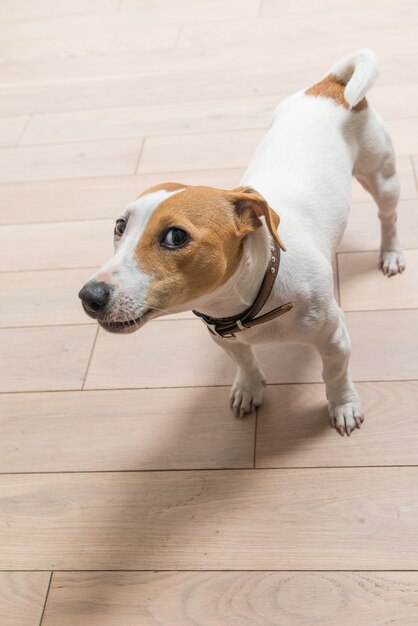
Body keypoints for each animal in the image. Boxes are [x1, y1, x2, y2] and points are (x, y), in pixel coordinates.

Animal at [78, 50, 404, 434]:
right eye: (120, 226)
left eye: (176, 236)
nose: (89, 296)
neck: (256, 293)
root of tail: (330, 86)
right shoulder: (224, 338)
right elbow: (246, 362)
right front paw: (249, 388)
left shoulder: (334, 337)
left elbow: (334, 375)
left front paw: (343, 406)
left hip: (382, 176)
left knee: (388, 217)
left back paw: (391, 253)